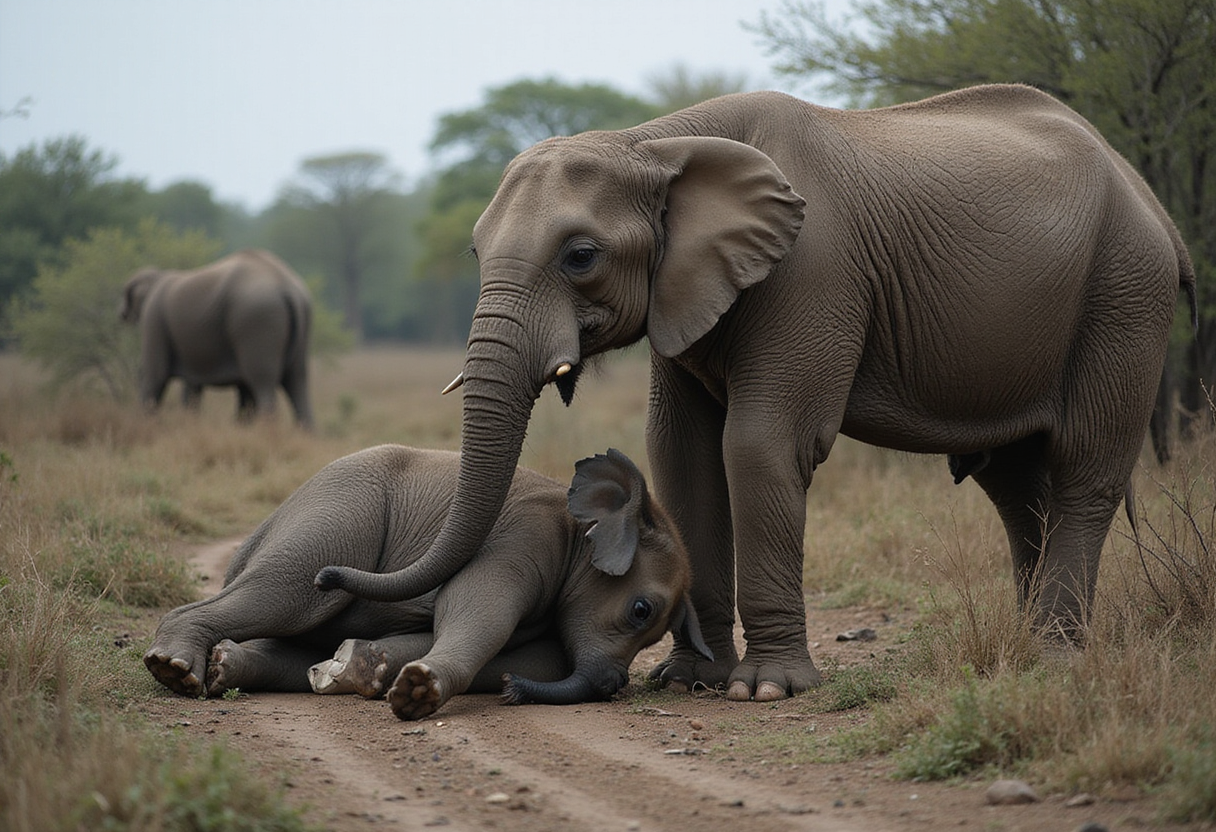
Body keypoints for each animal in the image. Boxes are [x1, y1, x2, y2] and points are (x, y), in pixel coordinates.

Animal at [119, 249, 315, 429]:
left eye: (125, 294)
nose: (120, 314)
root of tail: (288, 288)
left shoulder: (153, 318)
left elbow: (154, 374)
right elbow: (196, 386)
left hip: (258, 319)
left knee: (262, 381)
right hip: (291, 323)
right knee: (297, 380)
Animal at [144, 445, 709, 720]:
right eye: (640, 610)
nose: (616, 687)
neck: (578, 524)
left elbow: (540, 657)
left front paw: (379, 671)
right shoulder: (523, 535)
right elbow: (477, 611)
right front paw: (416, 691)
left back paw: (224, 669)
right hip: (338, 515)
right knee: (285, 596)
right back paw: (174, 671)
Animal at [315, 84, 1196, 704]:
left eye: (580, 256)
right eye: (473, 251)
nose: (327, 579)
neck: (656, 143)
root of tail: (1151, 195)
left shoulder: (814, 268)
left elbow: (759, 444)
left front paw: (766, 689)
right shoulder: (690, 285)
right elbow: (681, 453)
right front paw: (688, 682)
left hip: (1125, 292)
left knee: (1082, 471)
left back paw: (1053, 656)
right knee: (1015, 486)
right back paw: (1026, 642)